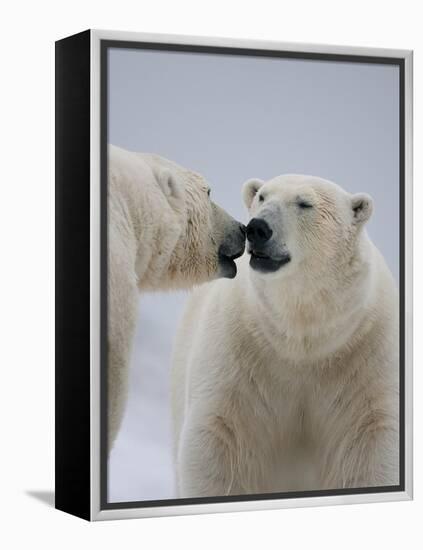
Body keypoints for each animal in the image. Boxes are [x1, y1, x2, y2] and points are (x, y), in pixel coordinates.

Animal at [171, 175, 398, 498]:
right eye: (262, 197)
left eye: (305, 203)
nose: (257, 228)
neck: (300, 335)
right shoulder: (239, 350)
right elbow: (219, 436)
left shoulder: (366, 354)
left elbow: (371, 440)